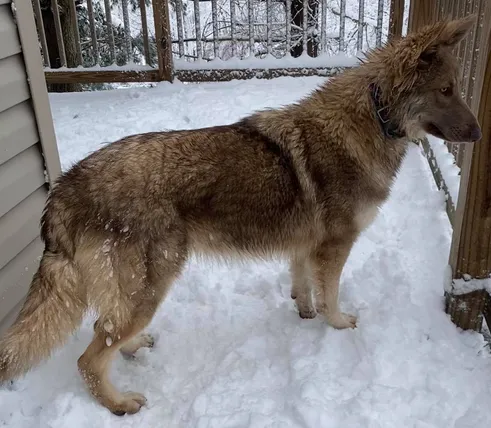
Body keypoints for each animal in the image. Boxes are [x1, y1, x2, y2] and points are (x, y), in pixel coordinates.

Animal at [0, 15, 482, 414]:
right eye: (446, 91)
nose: (479, 134)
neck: (375, 117)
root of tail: (65, 187)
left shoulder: (306, 245)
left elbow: (302, 285)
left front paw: (304, 313)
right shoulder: (336, 246)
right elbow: (331, 295)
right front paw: (338, 324)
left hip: (139, 292)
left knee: (108, 331)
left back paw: (135, 347)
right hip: (152, 284)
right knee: (90, 356)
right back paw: (119, 404)